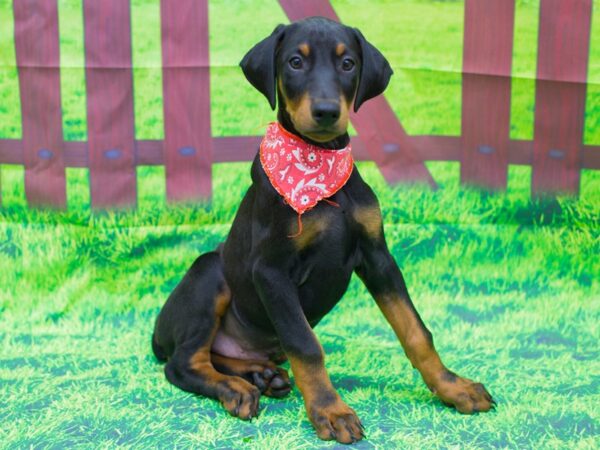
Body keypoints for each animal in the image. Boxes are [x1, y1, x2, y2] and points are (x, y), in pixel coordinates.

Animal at [152, 16, 494, 442]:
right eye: (295, 62)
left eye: (348, 64)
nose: (328, 111)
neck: (319, 166)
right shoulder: (271, 271)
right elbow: (306, 345)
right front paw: (330, 410)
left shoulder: (378, 257)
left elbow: (416, 331)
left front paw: (453, 386)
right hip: (208, 272)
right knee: (182, 363)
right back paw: (235, 389)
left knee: (220, 355)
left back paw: (261, 374)